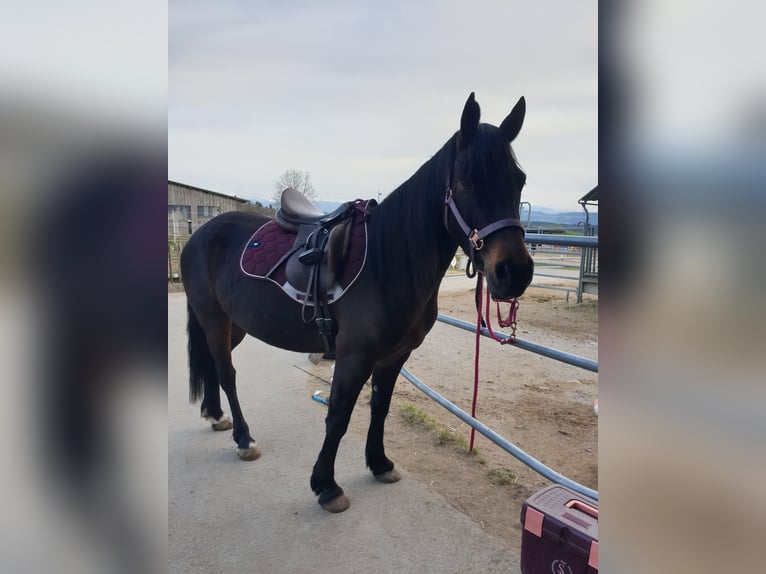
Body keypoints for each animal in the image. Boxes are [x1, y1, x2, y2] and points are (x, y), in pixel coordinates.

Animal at [183, 93, 536, 512]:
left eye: (519, 180)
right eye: (467, 180)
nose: (514, 272)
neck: (389, 261)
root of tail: (199, 234)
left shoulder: (395, 355)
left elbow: (380, 406)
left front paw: (379, 463)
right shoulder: (354, 356)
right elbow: (338, 416)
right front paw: (326, 485)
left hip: (233, 324)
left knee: (214, 365)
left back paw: (215, 415)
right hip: (214, 320)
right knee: (227, 372)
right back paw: (242, 438)